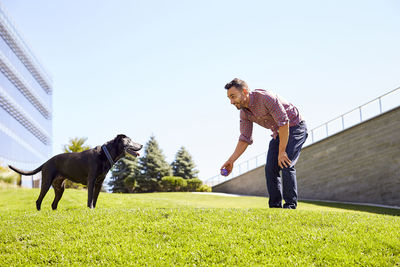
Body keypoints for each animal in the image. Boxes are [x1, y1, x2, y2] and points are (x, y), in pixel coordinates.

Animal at [7, 135, 143, 210]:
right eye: (130, 140)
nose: (141, 145)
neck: (105, 154)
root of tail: (46, 162)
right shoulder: (91, 181)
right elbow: (90, 198)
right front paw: (90, 209)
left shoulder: (99, 183)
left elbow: (95, 199)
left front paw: (94, 209)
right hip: (46, 182)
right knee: (38, 201)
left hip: (60, 188)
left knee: (53, 204)